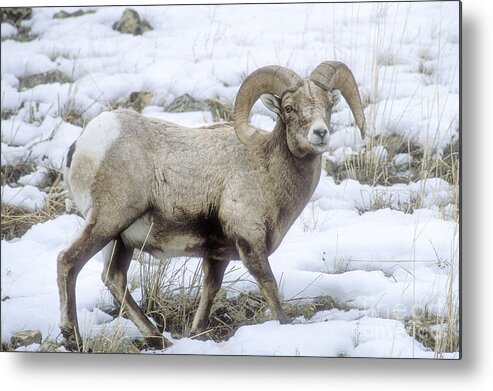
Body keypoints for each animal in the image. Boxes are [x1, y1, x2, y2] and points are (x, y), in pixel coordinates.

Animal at [57, 61, 366, 352]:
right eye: (289, 108)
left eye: (329, 106)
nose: (320, 133)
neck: (268, 169)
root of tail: (82, 146)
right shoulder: (250, 243)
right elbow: (270, 287)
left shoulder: (217, 254)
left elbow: (210, 290)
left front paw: (196, 334)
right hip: (108, 221)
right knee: (68, 261)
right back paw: (74, 339)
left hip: (121, 240)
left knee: (114, 279)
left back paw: (159, 339)